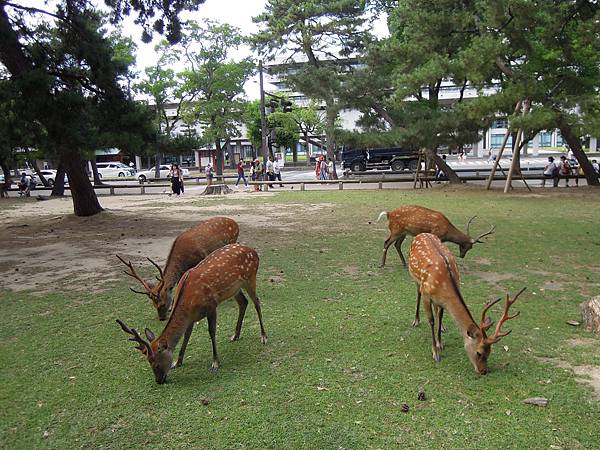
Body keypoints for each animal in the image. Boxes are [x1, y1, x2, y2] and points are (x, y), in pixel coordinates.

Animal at [116, 243, 266, 384]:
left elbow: (212, 332)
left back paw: (263, 337)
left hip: (250, 278)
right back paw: (235, 335)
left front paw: (215, 363)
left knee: (257, 303)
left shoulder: (211, 306)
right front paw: (178, 362)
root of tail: (253, 251)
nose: (158, 381)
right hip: (234, 289)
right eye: (149, 362)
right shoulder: (191, 317)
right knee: (243, 302)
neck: (188, 304)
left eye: (156, 364)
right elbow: (187, 336)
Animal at [406, 234, 524, 374]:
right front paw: (436, 353)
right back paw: (416, 320)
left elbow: (440, 316)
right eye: (479, 353)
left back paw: (443, 327)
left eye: (490, 352)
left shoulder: (442, 300)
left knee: (437, 310)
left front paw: (440, 343)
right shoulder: (426, 294)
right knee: (417, 293)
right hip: (415, 277)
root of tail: (421, 234)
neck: (444, 284)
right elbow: (432, 321)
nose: (483, 371)